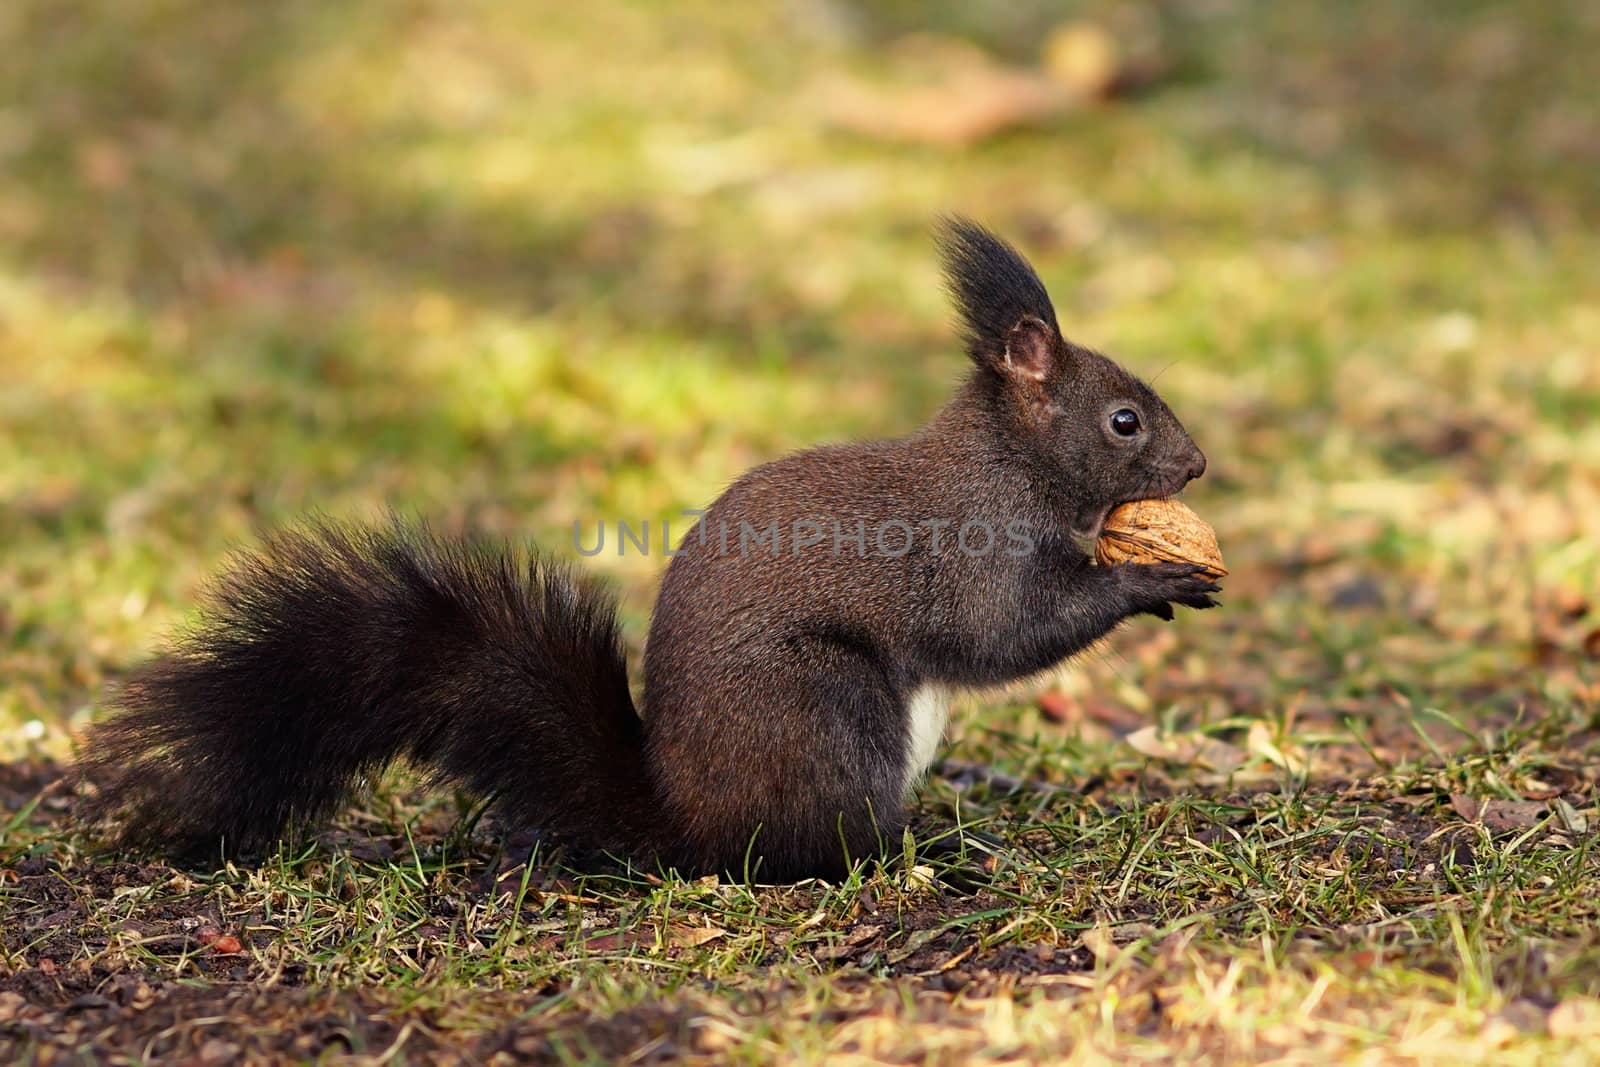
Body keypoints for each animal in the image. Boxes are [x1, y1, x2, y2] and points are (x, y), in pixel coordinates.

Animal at [81, 219, 1216, 883]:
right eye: (1123, 421)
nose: (1199, 464)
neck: (1008, 459)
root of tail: (679, 820)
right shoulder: (970, 547)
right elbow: (1007, 632)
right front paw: (1152, 575)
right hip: (824, 709)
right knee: (806, 851)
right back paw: (914, 852)